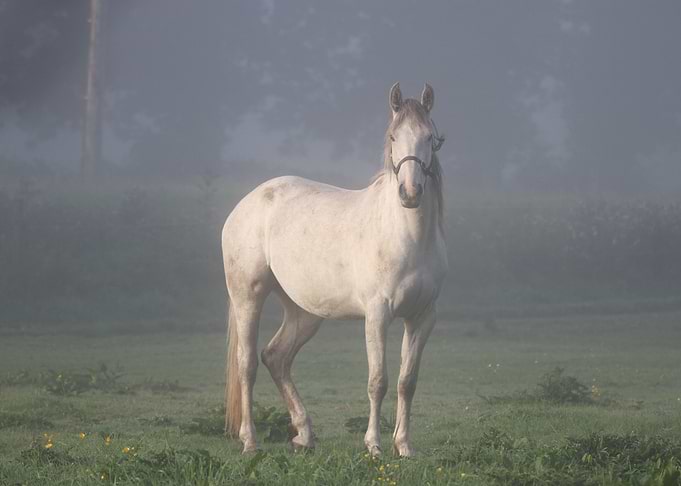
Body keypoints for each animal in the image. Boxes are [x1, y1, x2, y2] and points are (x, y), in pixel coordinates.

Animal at [221, 82, 448, 457]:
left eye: (430, 137)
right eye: (393, 136)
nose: (410, 192)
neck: (407, 236)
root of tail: (247, 204)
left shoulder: (423, 317)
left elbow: (407, 381)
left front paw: (404, 446)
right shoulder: (377, 315)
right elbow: (378, 381)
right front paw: (374, 445)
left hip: (304, 312)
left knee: (276, 357)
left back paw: (304, 434)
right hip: (247, 297)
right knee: (248, 364)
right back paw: (250, 442)